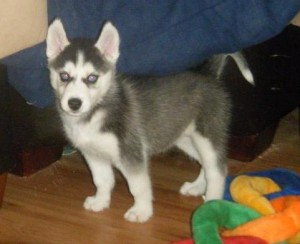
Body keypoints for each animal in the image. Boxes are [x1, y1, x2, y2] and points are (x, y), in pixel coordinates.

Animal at [46, 19, 232, 223]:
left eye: (92, 78)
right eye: (64, 76)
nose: (74, 103)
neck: (95, 113)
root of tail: (208, 75)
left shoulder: (131, 154)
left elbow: (138, 187)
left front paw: (142, 211)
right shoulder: (92, 153)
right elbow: (102, 181)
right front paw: (100, 202)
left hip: (207, 136)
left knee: (217, 170)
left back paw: (211, 203)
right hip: (185, 138)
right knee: (204, 164)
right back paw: (197, 187)